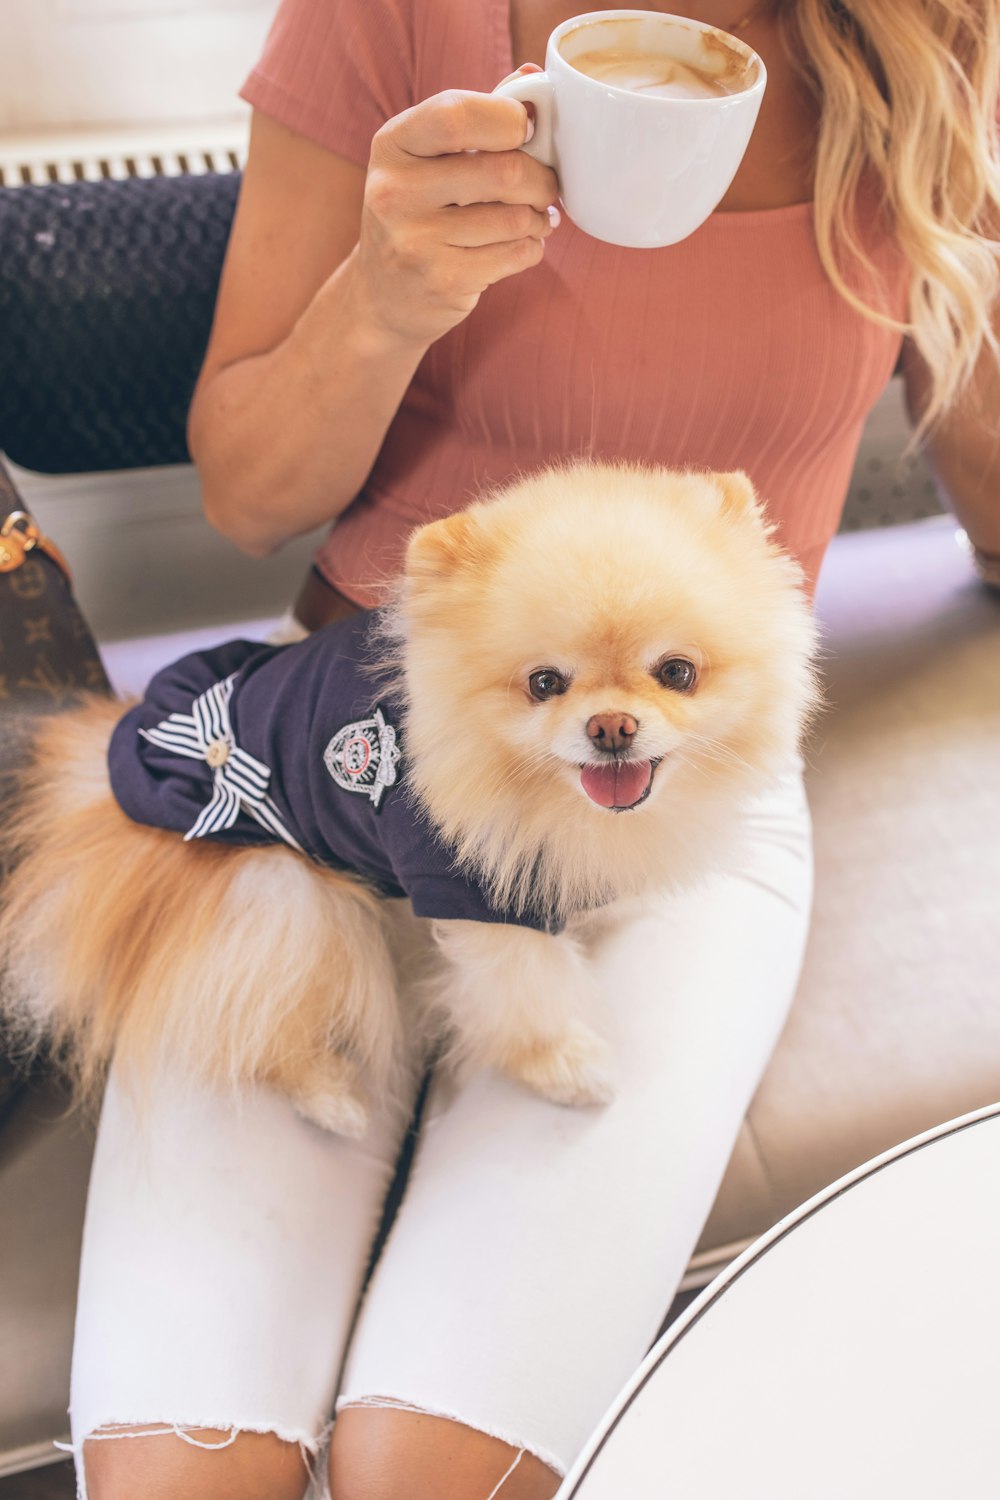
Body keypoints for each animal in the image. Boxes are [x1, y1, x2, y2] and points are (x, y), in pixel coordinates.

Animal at [0, 462, 821, 1128]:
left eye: (677, 672)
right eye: (543, 683)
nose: (611, 727)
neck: (545, 796)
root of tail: (108, 774)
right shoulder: (471, 894)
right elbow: (523, 994)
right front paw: (561, 1066)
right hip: (278, 892)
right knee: (253, 1008)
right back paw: (330, 1097)